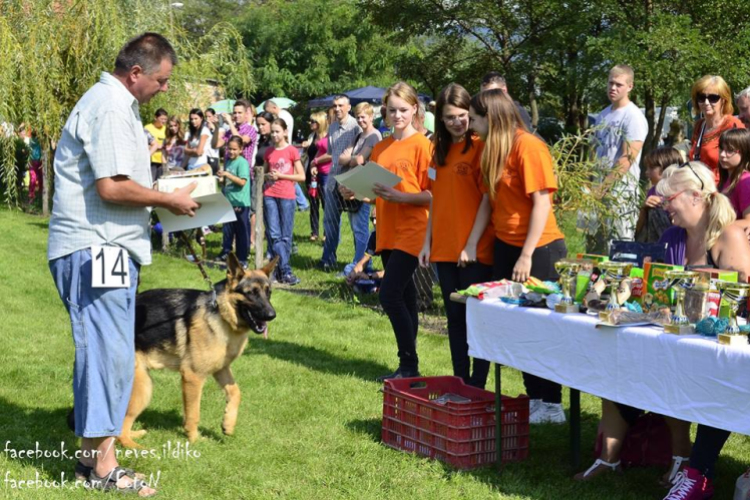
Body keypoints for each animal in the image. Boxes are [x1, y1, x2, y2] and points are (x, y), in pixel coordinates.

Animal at [68, 256, 276, 448]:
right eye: (251, 293)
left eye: (268, 293)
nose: (272, 315)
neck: (220, 313)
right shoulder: (193, 377)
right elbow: (193, 412)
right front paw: (194, 440)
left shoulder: (221, 369)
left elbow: (236, 392)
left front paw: (228, 424)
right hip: (142, 387)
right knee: (119, 429)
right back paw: (136, 447)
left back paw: (137, 435)